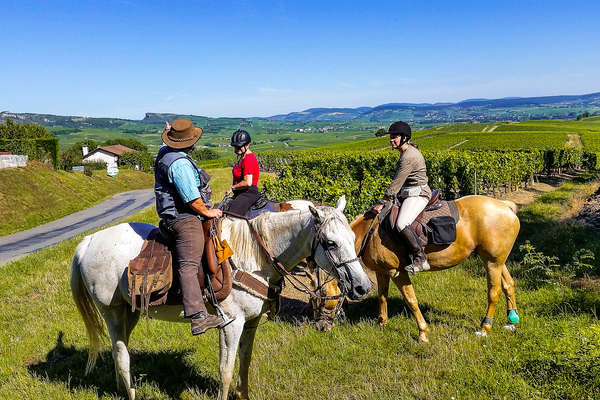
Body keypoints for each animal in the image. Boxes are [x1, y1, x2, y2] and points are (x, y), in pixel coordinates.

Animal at [69, 198, 370, 400]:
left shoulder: (251, 322)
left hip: (129, 312)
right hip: (111, 311)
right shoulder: (230, 324)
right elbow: (225, 370)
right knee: (121, 354)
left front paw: (244, 394)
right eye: (330, 243)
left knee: (119, 350)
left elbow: (245, 361)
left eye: (352, 236)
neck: (254, 257)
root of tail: (88, 241)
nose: (362, 286)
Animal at [312, 195, 516, 342]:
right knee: (509, 285)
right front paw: (382, 323)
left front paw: (423, 333)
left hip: (492, 262)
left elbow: (411, 300)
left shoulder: (397, 272)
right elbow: (382, 296)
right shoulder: (381, 271)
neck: (370, 232)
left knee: (494, 292)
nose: (319, 327)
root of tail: (505, 206)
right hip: (496, 261)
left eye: (322, 298)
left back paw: (485, 327)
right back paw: (511, 320)